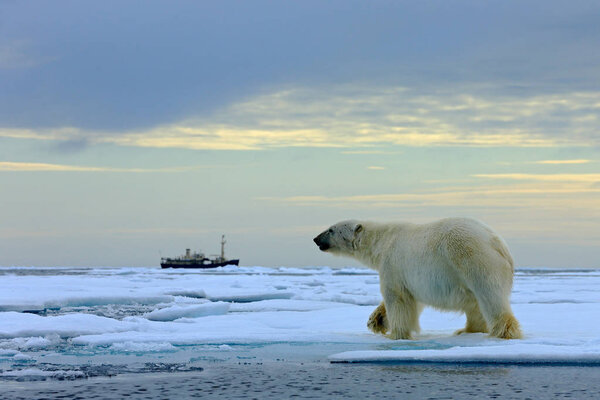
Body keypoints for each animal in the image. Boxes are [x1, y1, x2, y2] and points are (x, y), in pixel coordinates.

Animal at [314, 219, 520, 340]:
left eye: (331, 230)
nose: (316, 238)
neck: (381, 241)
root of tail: (498, 243)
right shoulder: (413, 278)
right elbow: (413, 299)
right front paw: (376, 320)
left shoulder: (392, 263)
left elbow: (397, 298)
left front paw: (396, 334)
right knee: (475, 303)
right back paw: (467, 330)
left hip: (472, 257)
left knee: (489, 296)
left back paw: (504, 332)